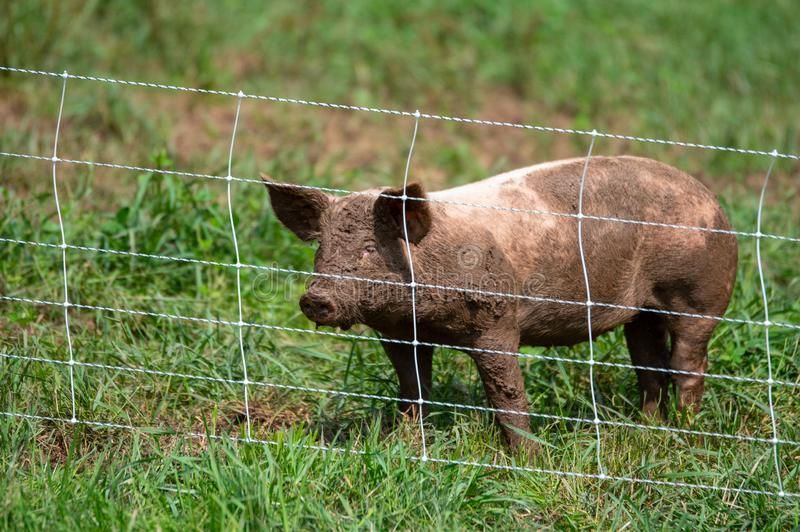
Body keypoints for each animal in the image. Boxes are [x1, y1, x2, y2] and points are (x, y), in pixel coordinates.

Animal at [262, 155, 738, 453]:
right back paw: (647, 426)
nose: (315, 299)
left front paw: (529, 460)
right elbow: (413, 388)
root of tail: (714, 202)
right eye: (321, 248)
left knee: (688, 363)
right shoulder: (399, 335)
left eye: (368, 249)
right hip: (641, 313)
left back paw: (686, 430)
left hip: (697, 295)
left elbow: (506, 395)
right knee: (648, 362)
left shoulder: (496, 322)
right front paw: (402, 443)